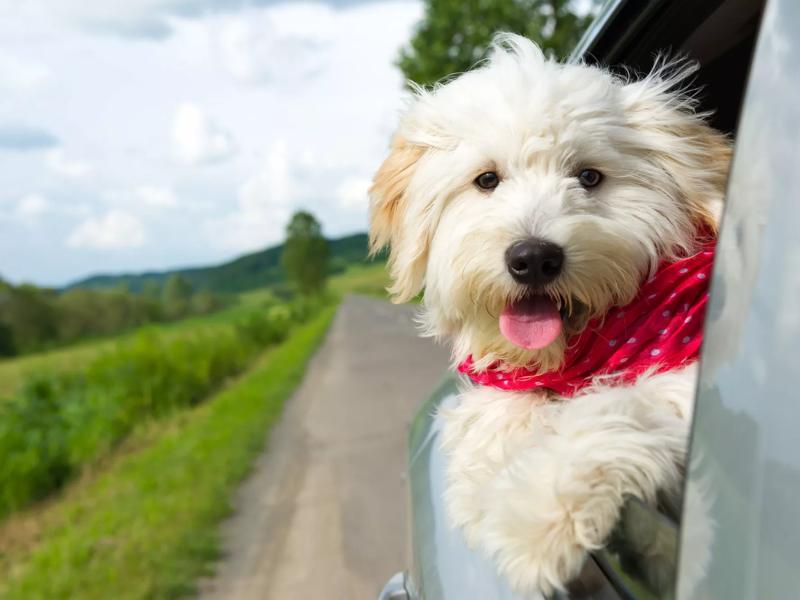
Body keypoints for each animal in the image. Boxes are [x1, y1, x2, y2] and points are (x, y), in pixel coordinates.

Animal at [368, 35, 732, 596]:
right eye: (487, 180)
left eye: (589, 176)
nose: (533, 258)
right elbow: (493, 414)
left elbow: (614, 405)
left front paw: (538, 519)